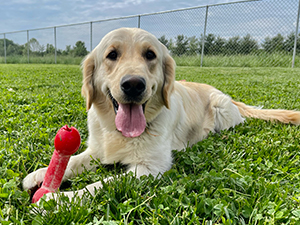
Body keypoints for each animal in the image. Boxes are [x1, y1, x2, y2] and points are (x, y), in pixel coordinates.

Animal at [22, 27, 300, 201]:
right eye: (112, 55)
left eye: (150, 55)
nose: (134, 84)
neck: (118, 132)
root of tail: (226, 95)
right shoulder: (97, 150)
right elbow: (72, 161)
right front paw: (39, 174)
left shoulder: (150, 167)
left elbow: (100, 184)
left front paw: (59, 201)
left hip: (221, 109)